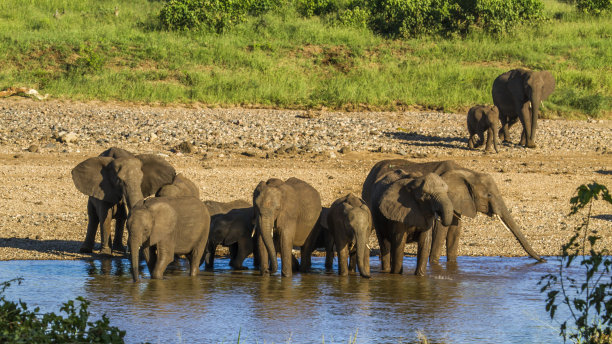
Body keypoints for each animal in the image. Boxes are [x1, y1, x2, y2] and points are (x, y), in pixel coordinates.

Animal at [360, 160, 544, 268]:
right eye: (489, 195)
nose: (543, 260)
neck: (467, 172)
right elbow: (441, 230)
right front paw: (434, 264)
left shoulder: (460, 202)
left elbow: (455, 231)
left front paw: (452, 264)